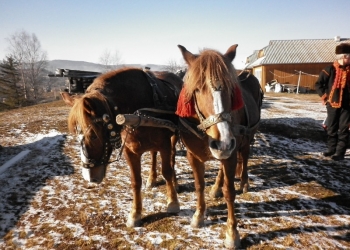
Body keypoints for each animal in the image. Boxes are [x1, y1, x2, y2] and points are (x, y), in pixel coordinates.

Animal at [61, 67, 183, 228]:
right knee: (153, 155)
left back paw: (175, 183)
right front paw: (135, 214)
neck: (139, 114)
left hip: (174, 136)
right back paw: (151, 179)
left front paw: (173, 203)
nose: (90, 177)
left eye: (93, 135)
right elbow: (135, 181)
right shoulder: (130, 151)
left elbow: (167, 171)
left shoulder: (164, 145)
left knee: (172, 157)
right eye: (77, 134)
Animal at [176, 44, 262, 249]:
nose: (222, 141)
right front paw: (199, 216)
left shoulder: (230, 152)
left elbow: (229, 192)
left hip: (245, 139)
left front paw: (232, 233)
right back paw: (216, 187)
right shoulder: (193, 156)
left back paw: (244, 182)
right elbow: (199, 185)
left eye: (231, 90)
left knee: (245, 157)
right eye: (197, 89)